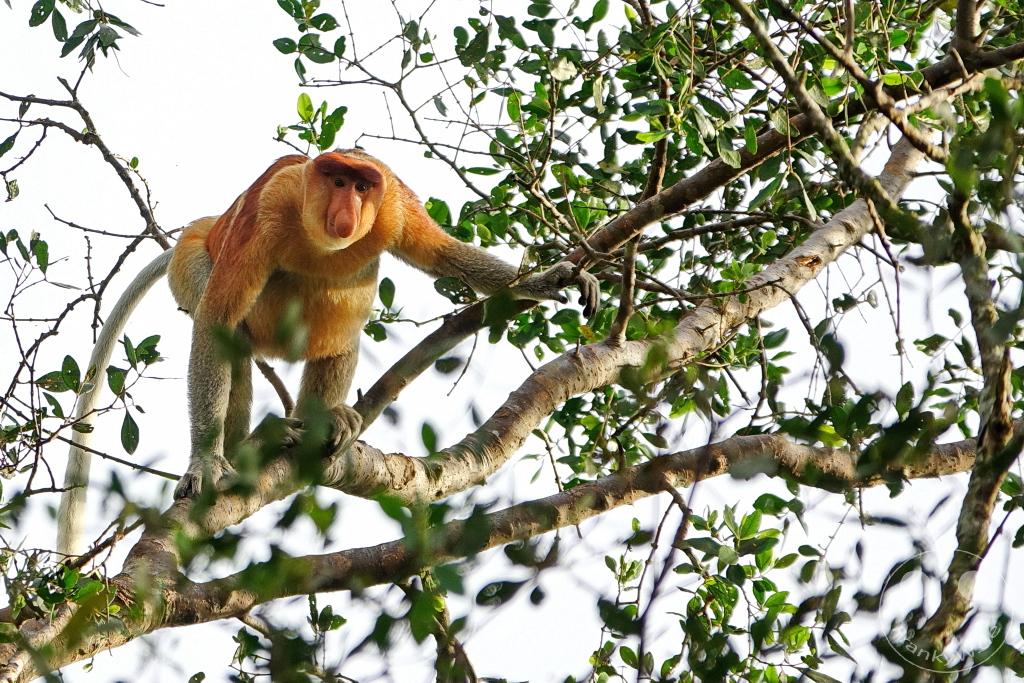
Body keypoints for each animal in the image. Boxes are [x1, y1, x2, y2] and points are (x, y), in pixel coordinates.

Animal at [56, 149, 599, 555]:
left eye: (362, 187)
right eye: (337, 181)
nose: (348, 213)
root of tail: (202, 226)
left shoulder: (394, 206)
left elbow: (444, 255)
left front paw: (553, 280)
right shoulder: (266, 210)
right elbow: (216, 323)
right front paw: (207, 463)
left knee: (346, 317)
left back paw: (324, 420)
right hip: (193, 263)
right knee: (233, 335)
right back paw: (249, 445)